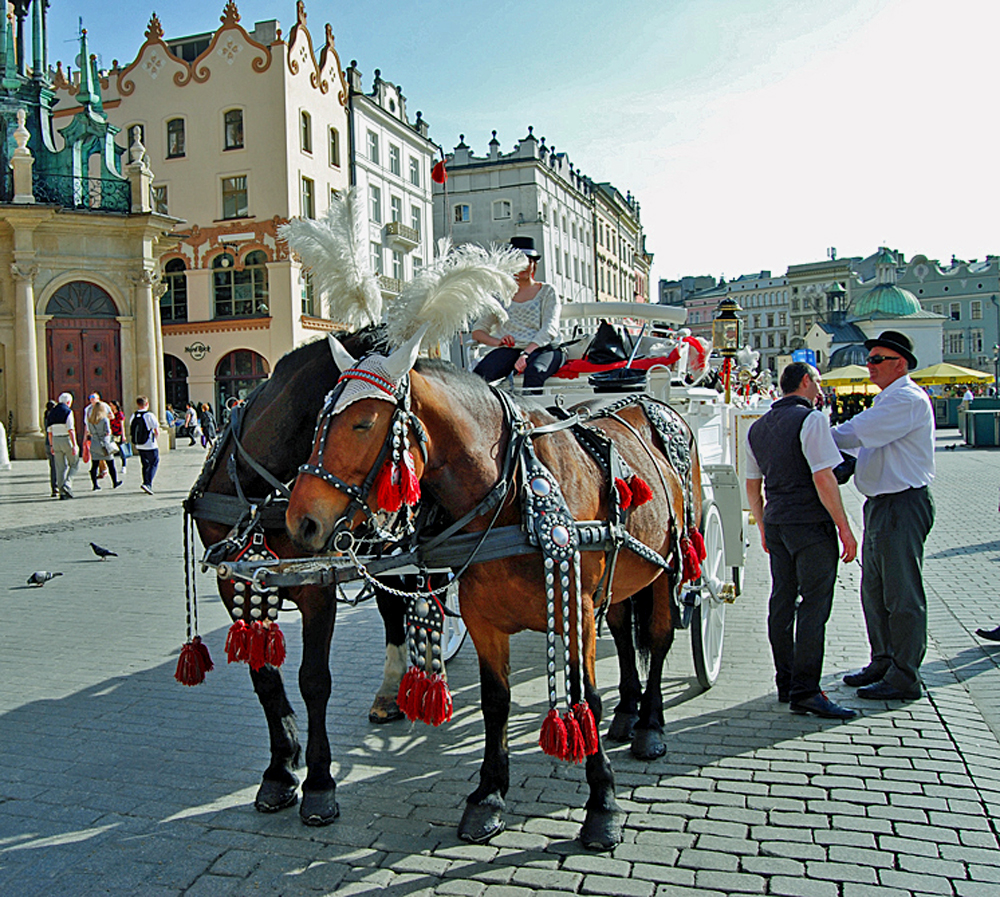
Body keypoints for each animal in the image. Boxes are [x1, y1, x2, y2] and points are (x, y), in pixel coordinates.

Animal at [284, 356, 704, 848]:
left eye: (363, 423)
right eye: (317, 422)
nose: (301, 521)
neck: (514, 494)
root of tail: (656, 403)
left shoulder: (577, 609)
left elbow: (588, 699)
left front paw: (603, 805)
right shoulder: (483, 619)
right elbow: (495, 702)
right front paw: (488, 797)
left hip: (673, 562)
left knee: (657, 638)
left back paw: (650, 726)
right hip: (623, 579)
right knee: (622, 633)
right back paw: (627, 713)